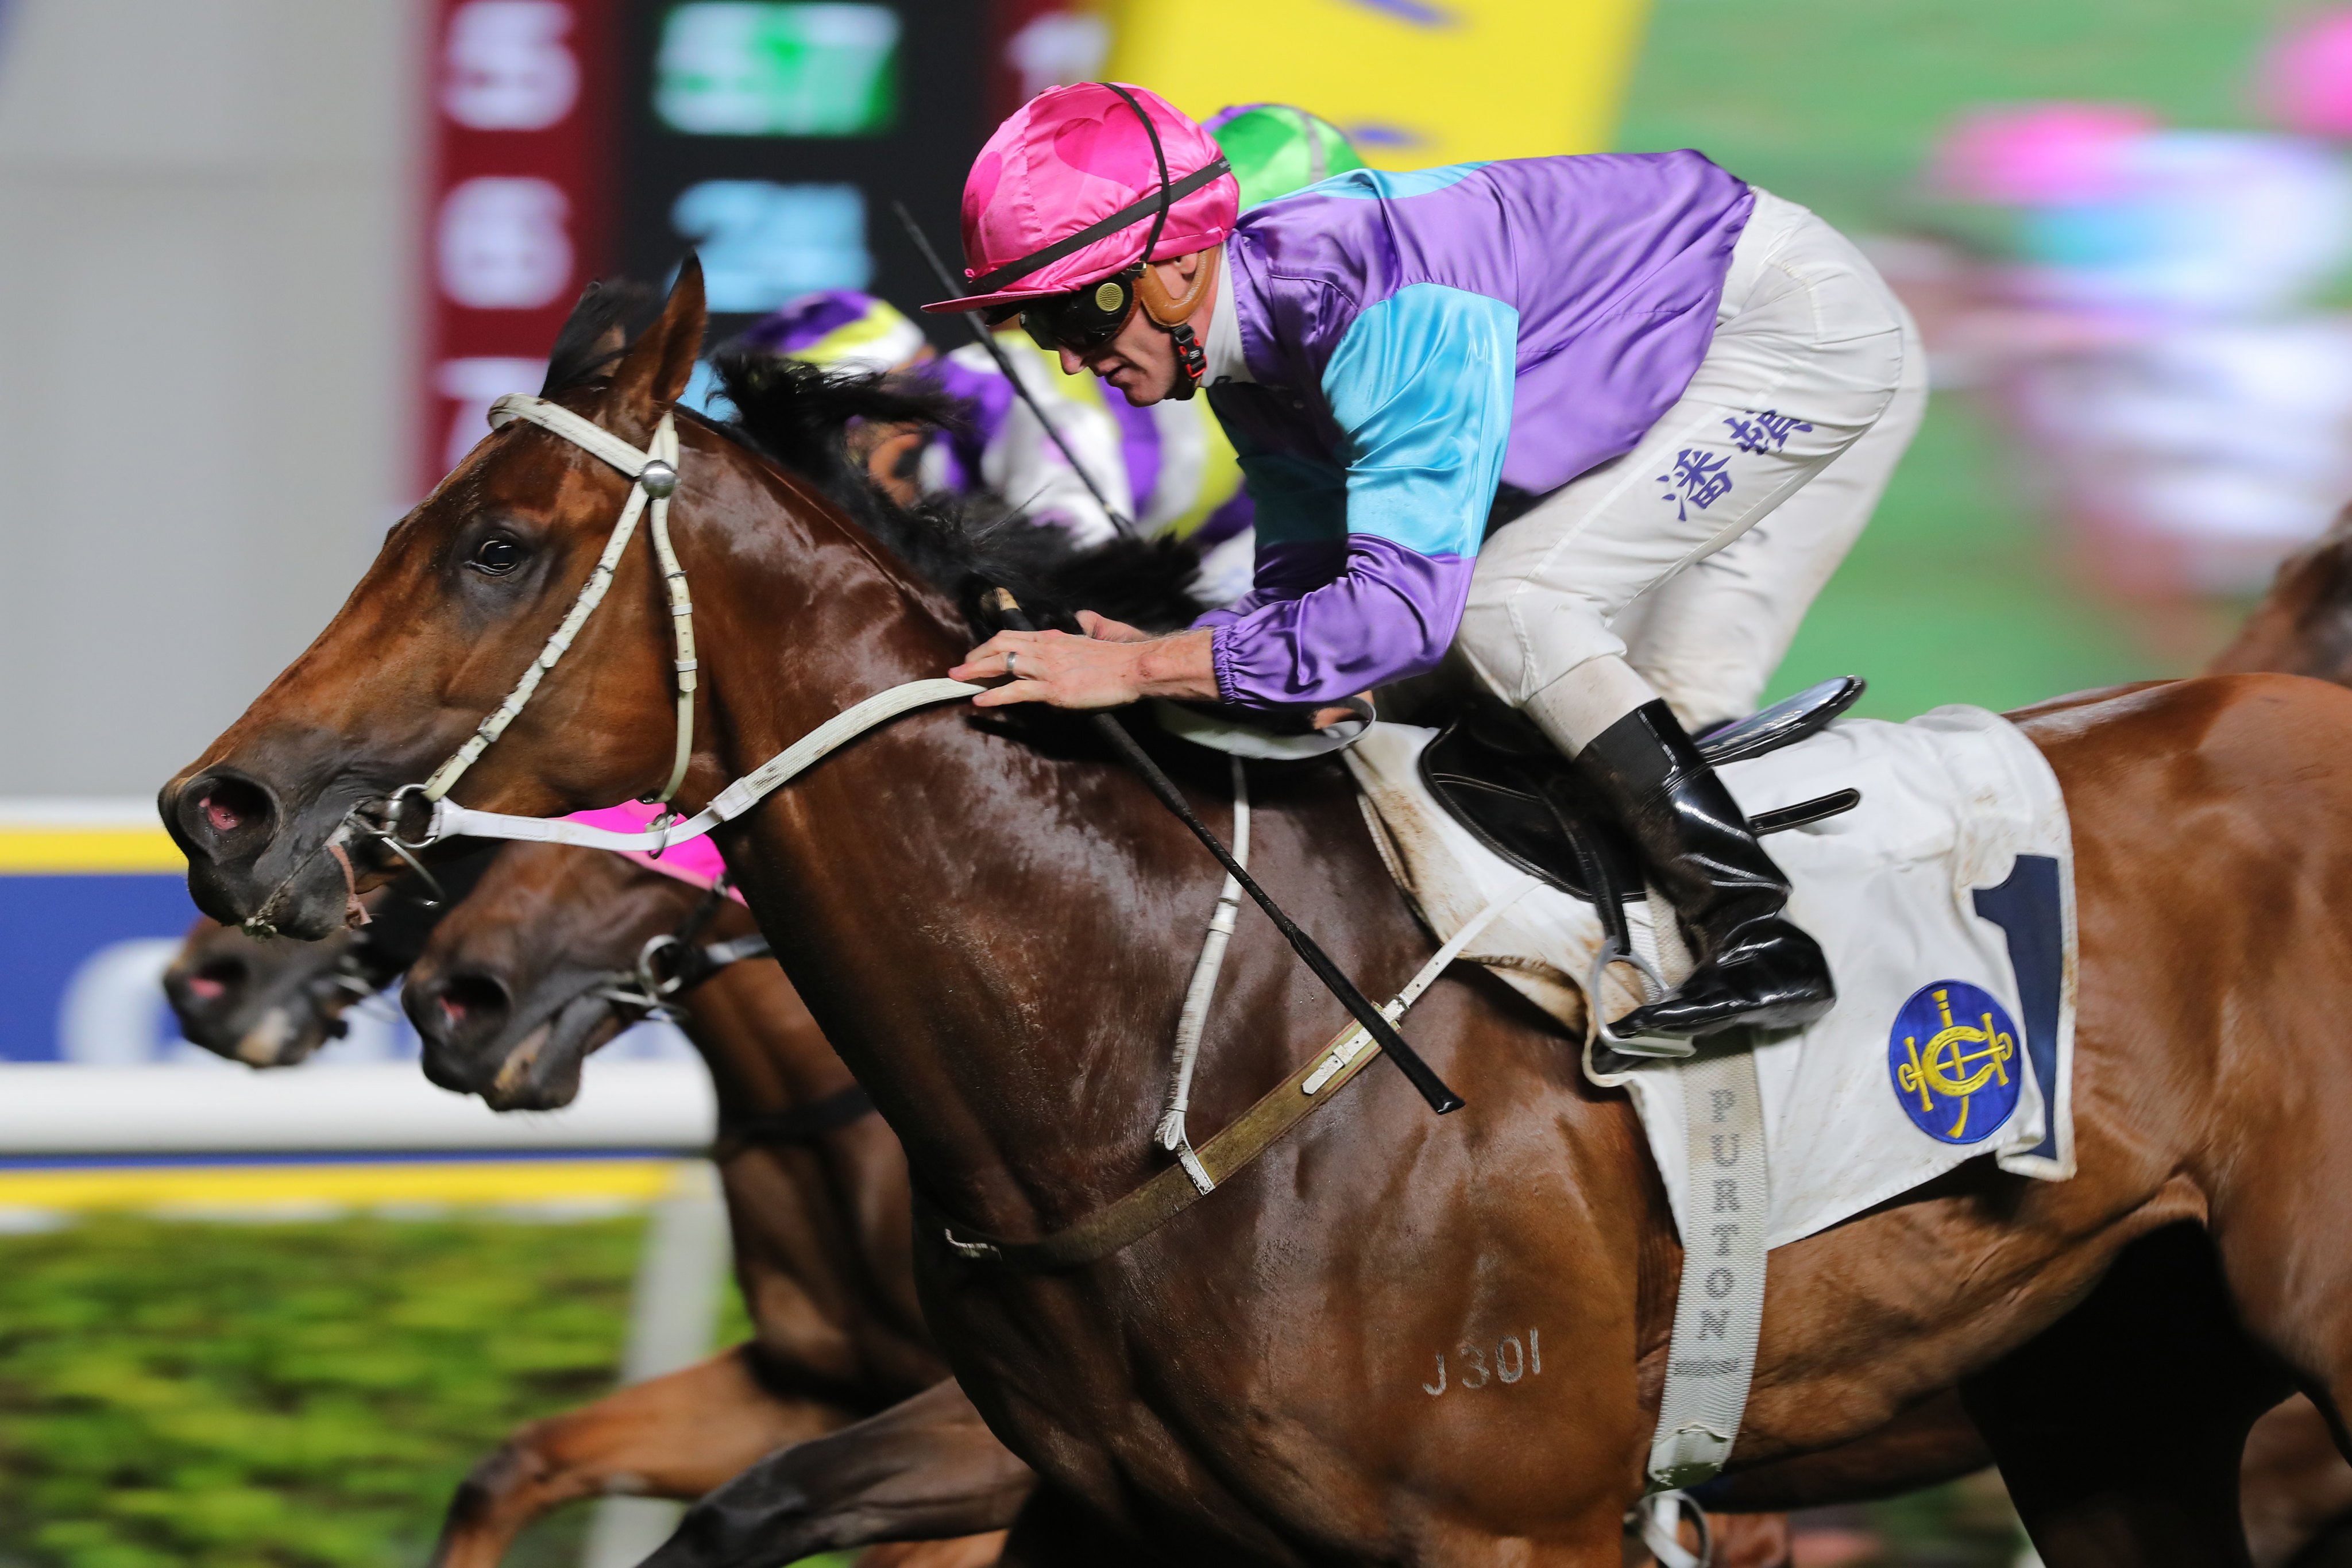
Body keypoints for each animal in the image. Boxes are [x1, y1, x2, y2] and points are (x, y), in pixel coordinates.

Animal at [161, 263, 2352, 1561]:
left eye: (499, 549)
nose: (216, 815)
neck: (1149, 1037)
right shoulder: (1084, 1498)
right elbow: (556, 1466)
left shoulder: (1513, 1529)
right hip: (2116, 1399)